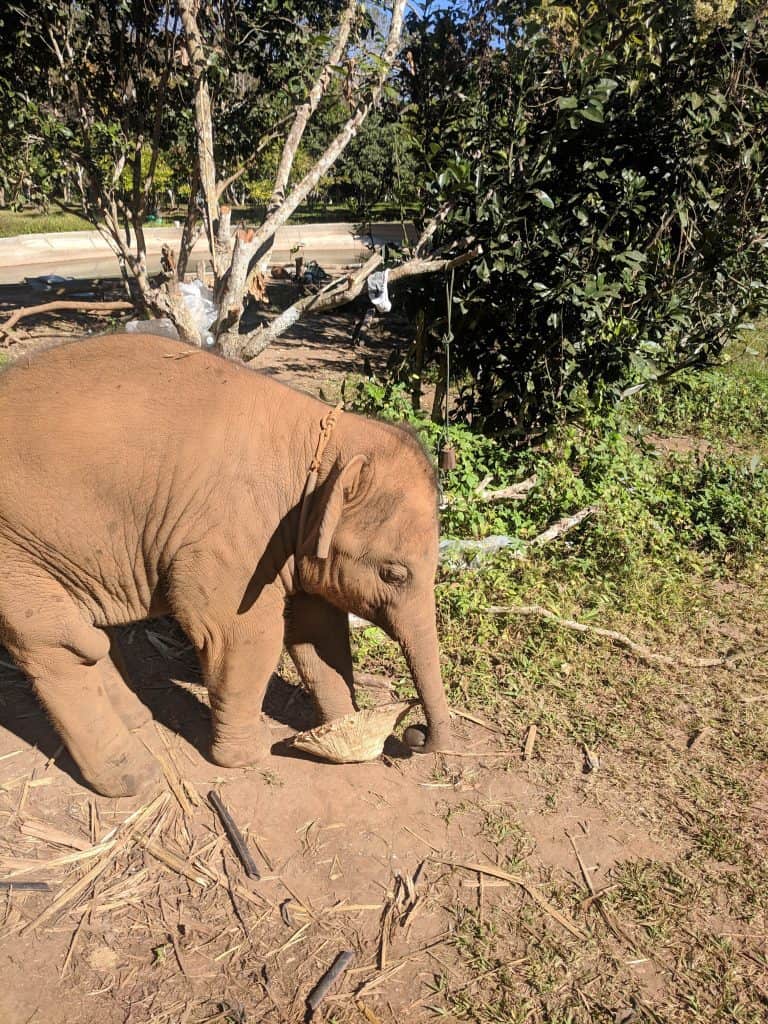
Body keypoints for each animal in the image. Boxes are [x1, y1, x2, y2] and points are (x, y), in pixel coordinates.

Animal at [0, 334, 452, 796]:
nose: (414, 735)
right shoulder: (233, 536)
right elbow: (245, 633)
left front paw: (344, 727)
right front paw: (247, 757)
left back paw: (138, 719)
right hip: (15, 546)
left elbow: (318, 631)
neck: (320, 438)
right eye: (394, 574)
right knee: (57, 640)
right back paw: (134, 778)